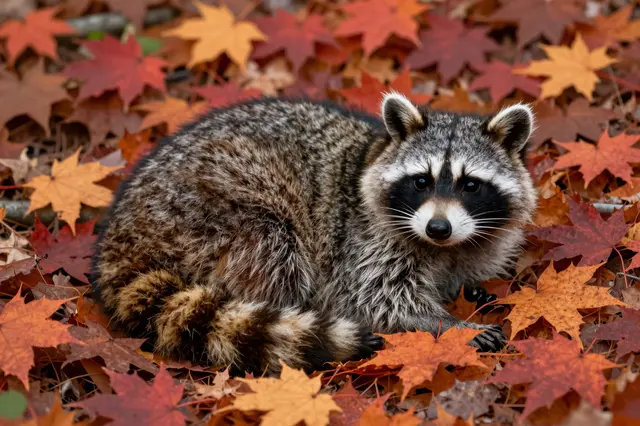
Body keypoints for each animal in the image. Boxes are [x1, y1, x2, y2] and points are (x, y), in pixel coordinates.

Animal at [91, 94, 536, 375]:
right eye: (421, 181)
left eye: (470, 185)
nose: (438, 227)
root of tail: (122, 231)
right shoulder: (362, 238)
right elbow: (375, 299)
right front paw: (446, 323)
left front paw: (471, 291)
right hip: (211, 214)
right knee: (273, 252)